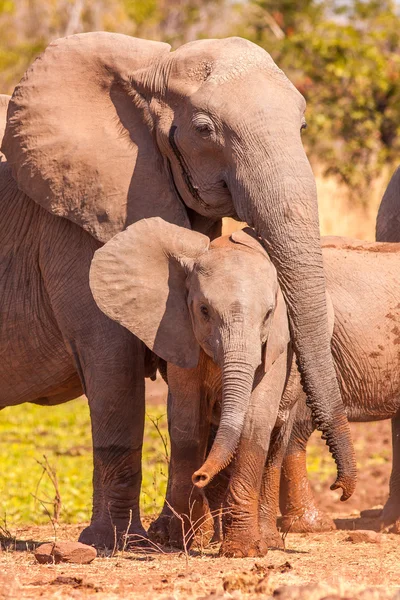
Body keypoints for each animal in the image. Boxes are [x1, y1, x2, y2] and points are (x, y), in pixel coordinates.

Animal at [1, 32, 354, 548]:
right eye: (204, 130)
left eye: (303, 122)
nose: (341, 489)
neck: (151, 66)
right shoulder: (74, 218)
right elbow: (112, 361)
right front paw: (116, 542)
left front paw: (191, 539)